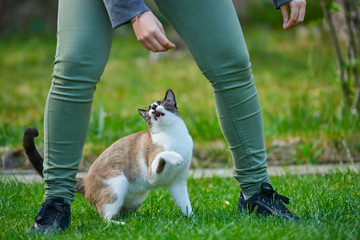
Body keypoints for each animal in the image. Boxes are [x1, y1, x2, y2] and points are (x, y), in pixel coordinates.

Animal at [23, 89, 194, 221]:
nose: (153, 107)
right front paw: (176, 158)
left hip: (136, 197)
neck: (173, 134)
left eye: (159, 103)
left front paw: (192, 220)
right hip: (118, 182)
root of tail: (85, 180)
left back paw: (141, 220)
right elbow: (164, 154)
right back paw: (122, 225)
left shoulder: (177, 184)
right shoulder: (153, 175)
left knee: (123, 213)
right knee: (106, 219)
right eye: (150, 107)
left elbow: (186, 206)